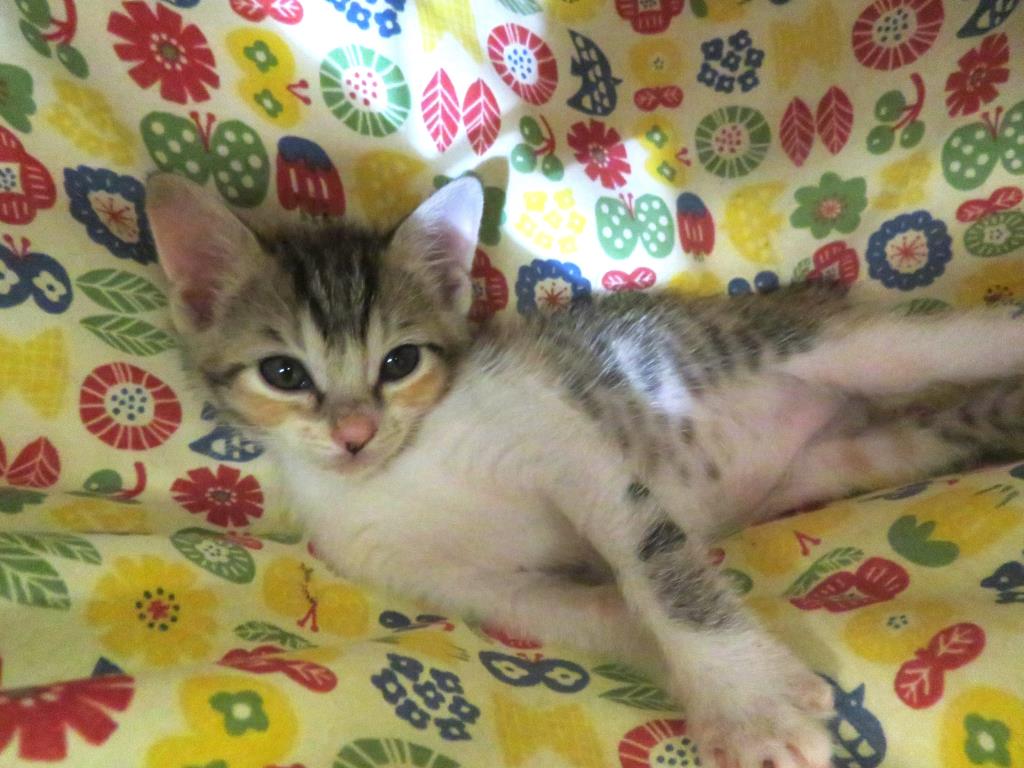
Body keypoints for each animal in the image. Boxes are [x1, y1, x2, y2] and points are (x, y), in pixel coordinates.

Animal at [147, 172, 1024, 768]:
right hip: (852, 456)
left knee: (950, 342)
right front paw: (726, 687)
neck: (402, 469)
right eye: (283, 373)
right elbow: (597, 612)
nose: (357, 433)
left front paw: (748, 703)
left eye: (399, 362)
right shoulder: (450, 579)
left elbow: (654, 564)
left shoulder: (561, 441)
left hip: (837, 345)